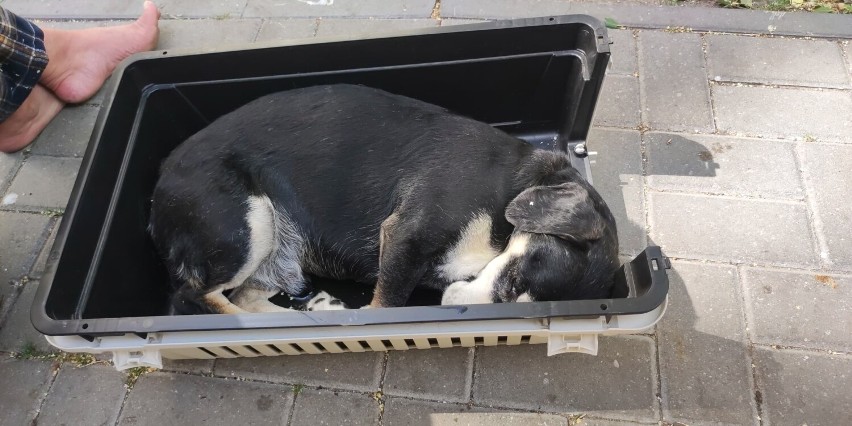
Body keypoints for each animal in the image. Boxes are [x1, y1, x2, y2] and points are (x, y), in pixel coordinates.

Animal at [148, 84, 620, 316]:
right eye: (515, 281)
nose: (455, 306)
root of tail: (159, 181)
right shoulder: (407, 235)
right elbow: (386, 304)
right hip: (247, 226)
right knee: (193, 298)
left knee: (243, 298)